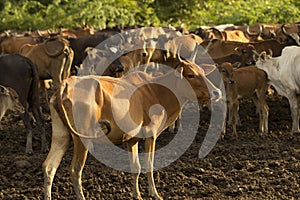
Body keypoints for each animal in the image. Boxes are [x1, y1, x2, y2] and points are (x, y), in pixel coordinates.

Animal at [42, 49, 221, 199]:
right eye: (190, 75)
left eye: (202, 72)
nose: (216, 92)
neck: (157, 92)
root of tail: (64, 86)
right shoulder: (151, 135)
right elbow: (149, 165)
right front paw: (155, 194)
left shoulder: (131, 139)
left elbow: (136, 167)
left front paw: (137, 195)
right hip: (82, 138)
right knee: (75, 170)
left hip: (62, 136)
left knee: (49, 167)